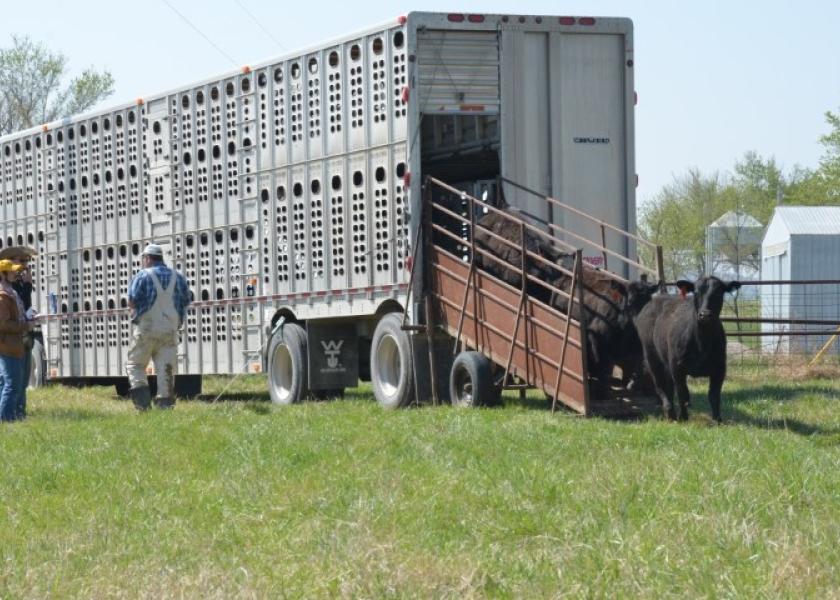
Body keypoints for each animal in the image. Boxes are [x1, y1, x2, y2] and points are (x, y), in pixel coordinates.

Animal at [636, 276, 740, 422]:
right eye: (696, 293)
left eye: (719, 292)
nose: (705, 315)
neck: (702, 342)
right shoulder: (677, 366)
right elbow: (683, 393)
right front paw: (684, 418)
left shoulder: (720, 368)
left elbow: (714, 396)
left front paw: (717, 420)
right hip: (652, 357)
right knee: (660, 385)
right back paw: (669, 412)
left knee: (668, 386)